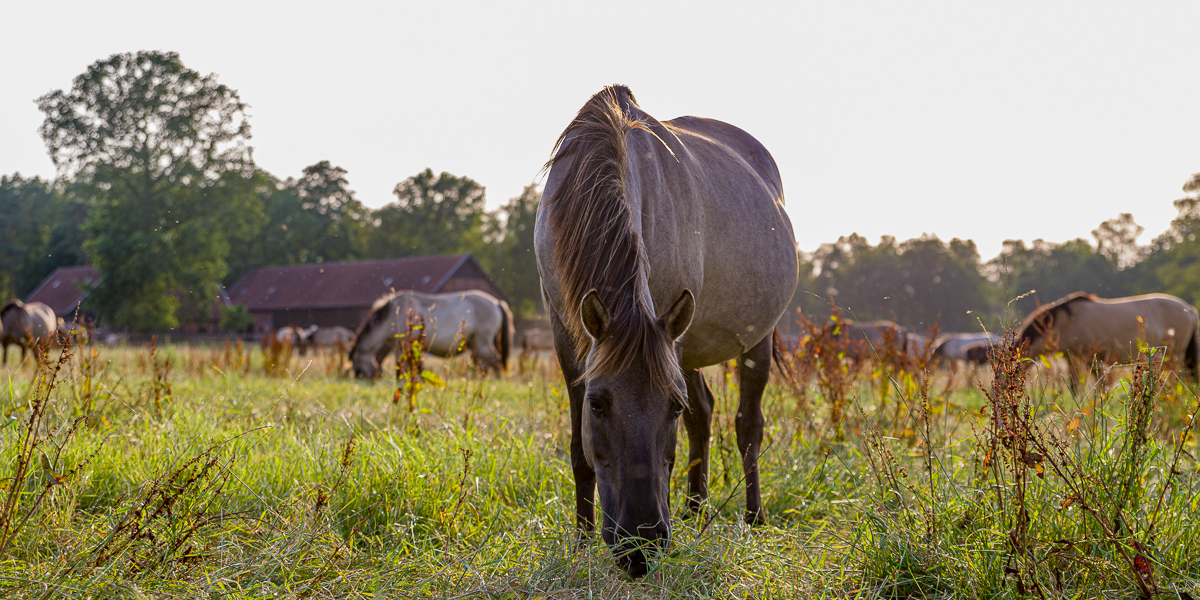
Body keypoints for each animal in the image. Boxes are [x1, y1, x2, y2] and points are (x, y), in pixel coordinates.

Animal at [350, 288, 513, 376]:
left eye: (354, 360)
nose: (358, 376)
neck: (393, 315)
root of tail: (497, 302)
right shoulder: (399, 346)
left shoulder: (408, 344)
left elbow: (413, 367)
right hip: (475, 344)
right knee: (482, 363)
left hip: (482, 342)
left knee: (495, 360)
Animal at [535, 84, 796, 576]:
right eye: (598, 404)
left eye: (670, 407)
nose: (641, 543)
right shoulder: (566, 337)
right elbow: (580, 451)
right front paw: (580, 540)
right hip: (687, 342)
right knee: (706, 414)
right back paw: (696, 509)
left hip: (755, 339)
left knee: (747, 424)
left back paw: (752, 516)